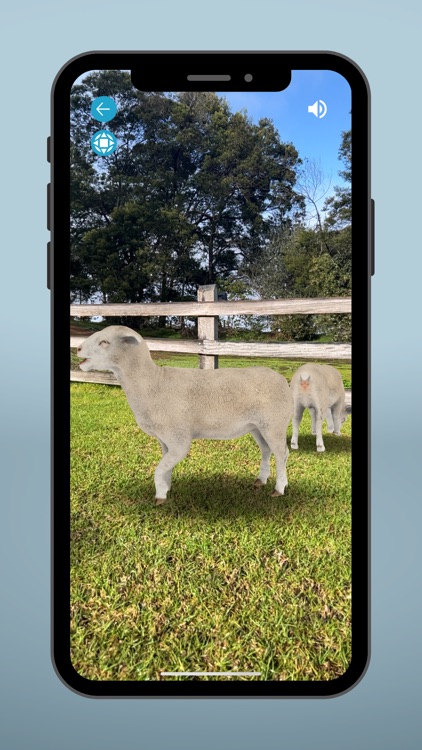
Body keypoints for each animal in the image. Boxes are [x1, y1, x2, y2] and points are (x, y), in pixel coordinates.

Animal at [76, 325, 293, 504]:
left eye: (104, 342)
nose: (78, 349)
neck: (152, 383)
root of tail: (284, 380)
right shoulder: (164, 439)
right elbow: (166, 467)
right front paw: (166, 489)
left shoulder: (178, 437)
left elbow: (159, 469)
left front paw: (159, 497)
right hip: (257, 426)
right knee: (266, 450)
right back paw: (261, 480)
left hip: (274, 423)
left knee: (282, 453)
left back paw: (279, 489)